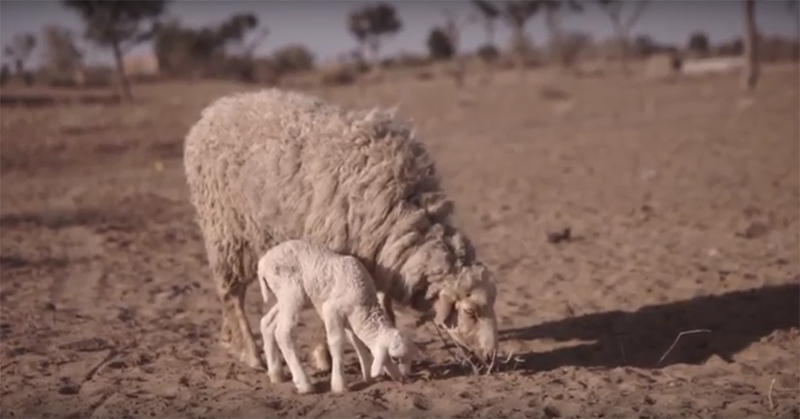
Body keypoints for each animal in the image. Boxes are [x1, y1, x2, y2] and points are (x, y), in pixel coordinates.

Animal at [184, 88, 500, 370]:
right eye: (470, 311)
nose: (491, 358)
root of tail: (215, 110)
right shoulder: (329, 255)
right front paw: (322, 358)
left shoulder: (381, 256)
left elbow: (383, 303)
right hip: (226, 230)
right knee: (231, 295)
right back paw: (250, 354)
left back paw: (230, 341)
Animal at [258, 241, 422, 396]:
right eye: (395, 358)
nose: (404, 379)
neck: (363, 303)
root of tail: (263, 262)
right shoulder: (331, 309)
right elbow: (337, 341)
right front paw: (339, 385)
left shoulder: (350, 317)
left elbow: (356, 340)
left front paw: (368, 373)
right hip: (291, 290)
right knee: (283, 332)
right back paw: (304, 384)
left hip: (288, 296)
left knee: (267, 322)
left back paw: (276, 374)